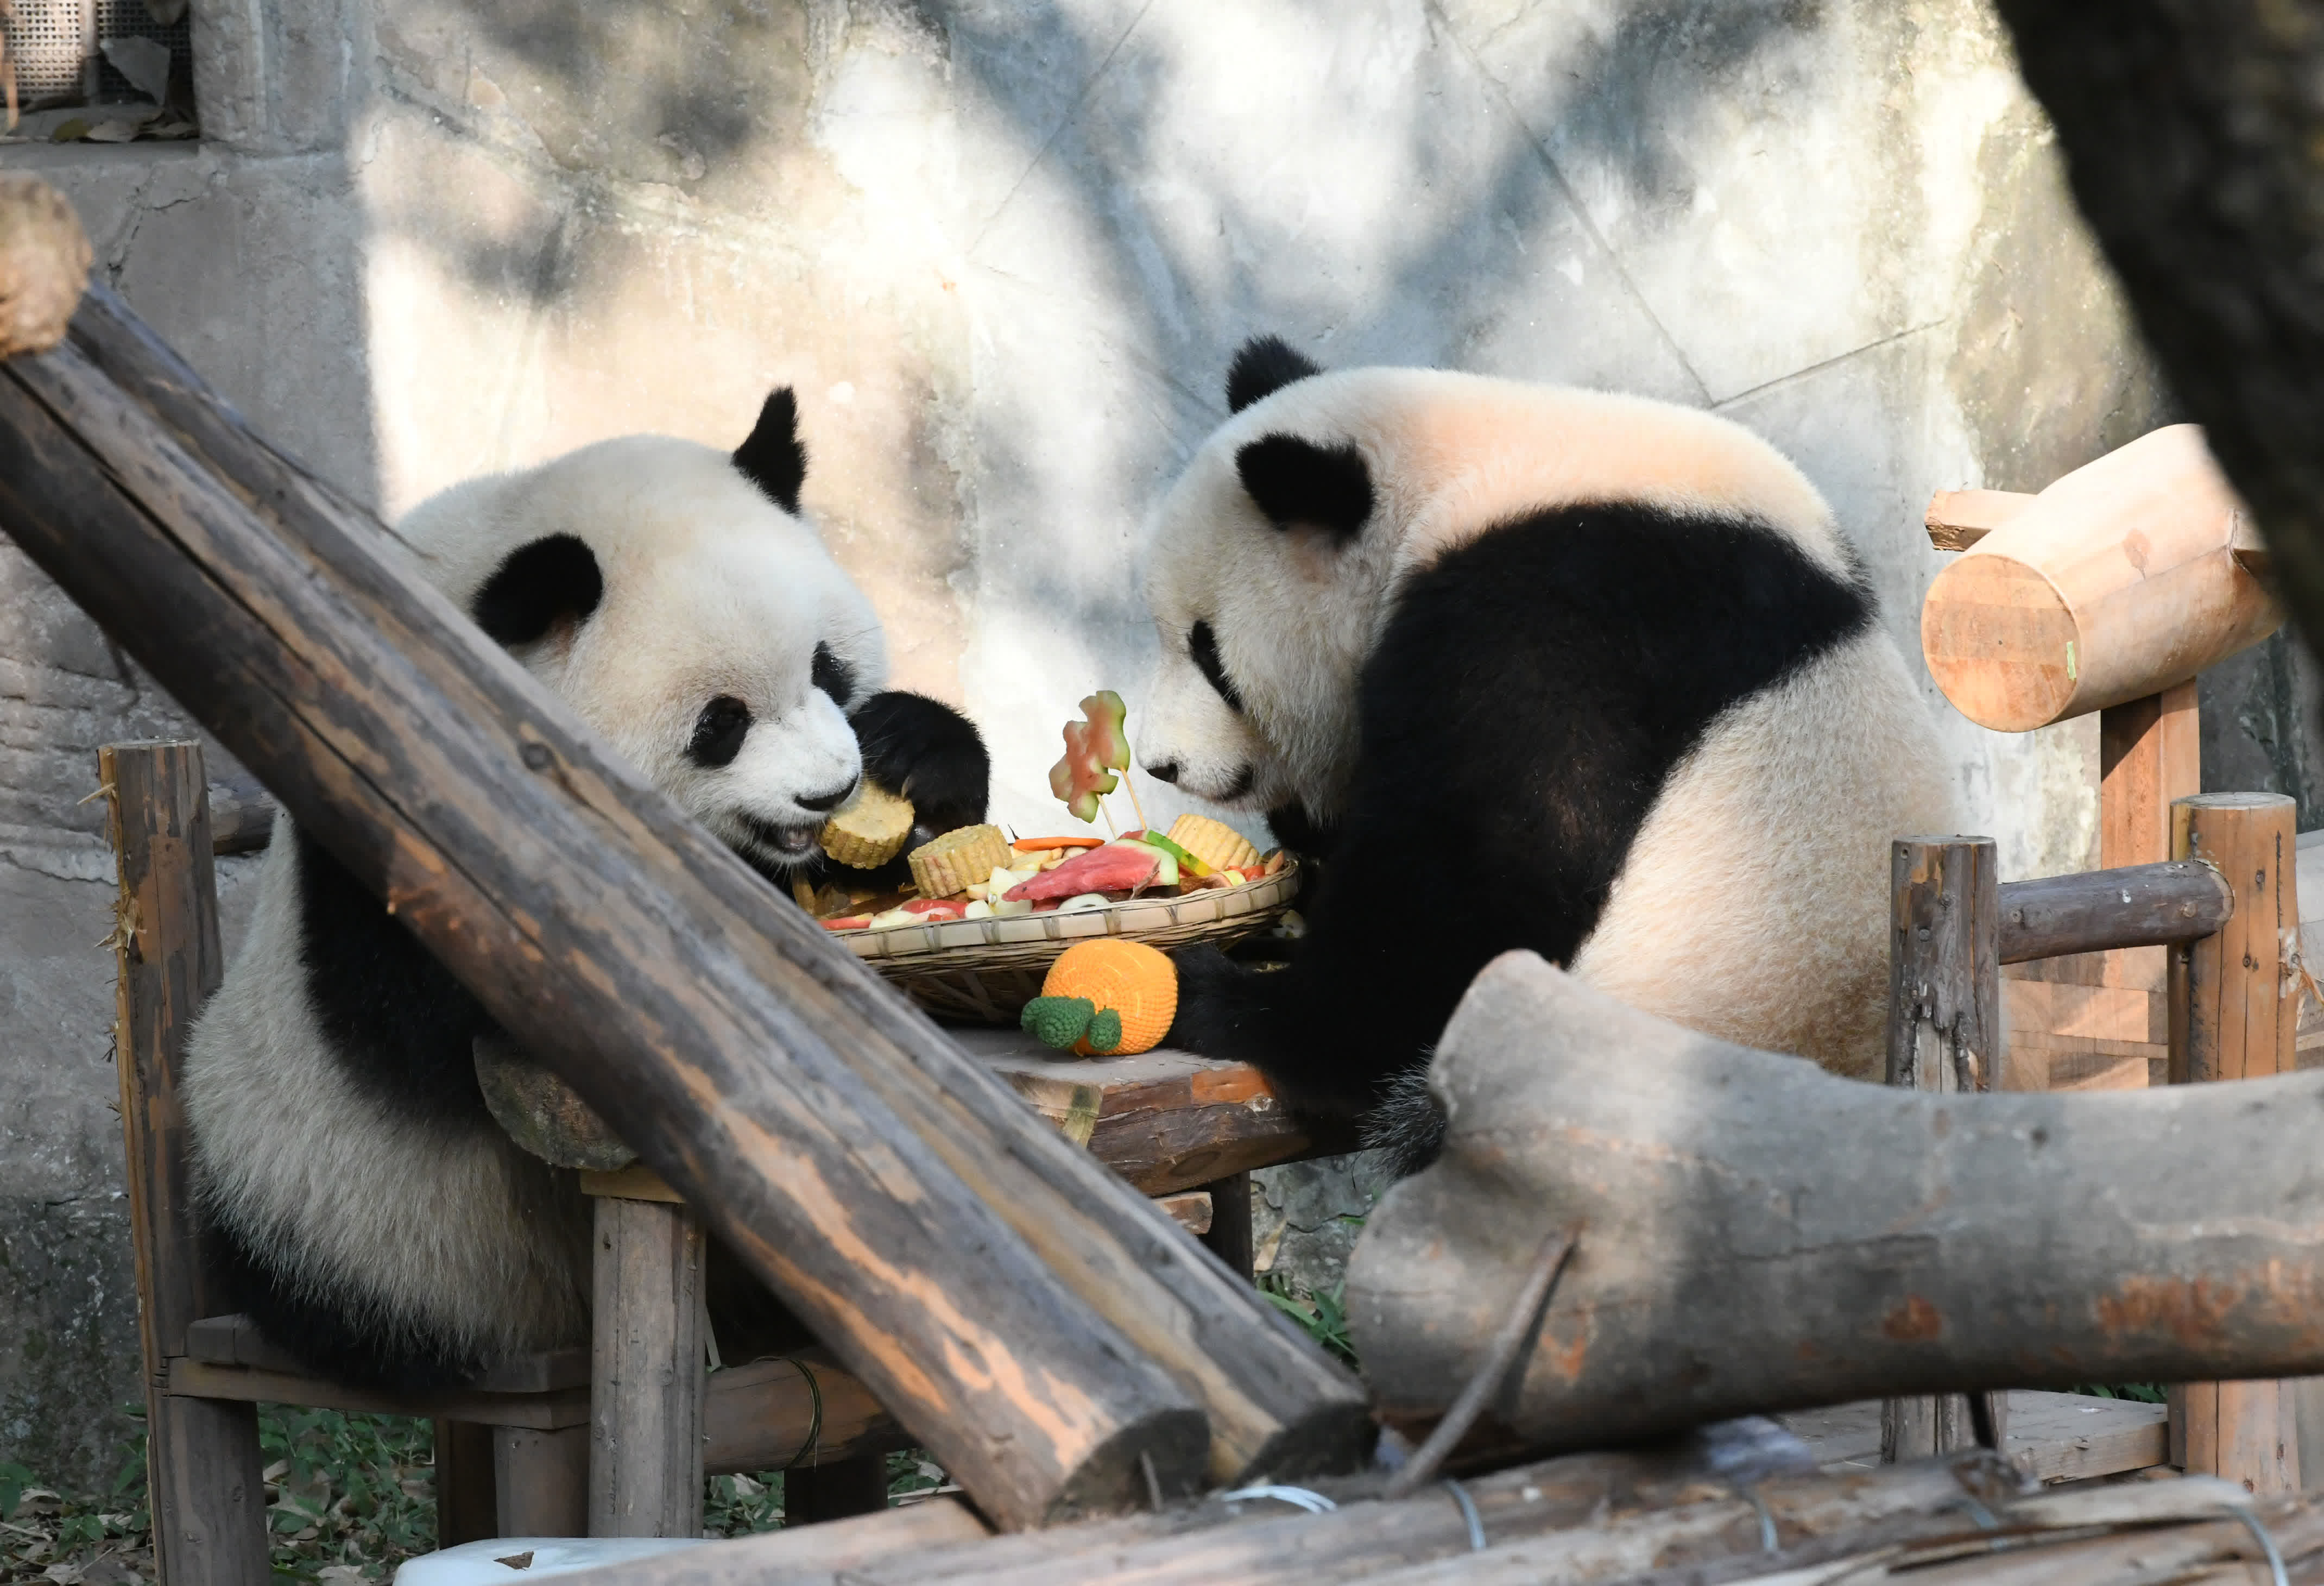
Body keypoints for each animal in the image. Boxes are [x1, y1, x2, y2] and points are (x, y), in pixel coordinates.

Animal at [181, 386, 981, 1386]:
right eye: (721, 724)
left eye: (828, 668)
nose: (829, 793)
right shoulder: (389, 798)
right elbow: (441, 1013)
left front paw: (916, 751)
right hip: (317, 1197)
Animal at [1148, 332, 1961, 1167]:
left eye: (1209, 654)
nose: (1161, 763)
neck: (1456, 465)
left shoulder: (1552, 621)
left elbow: (1472, 898)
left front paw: (1215, 993)